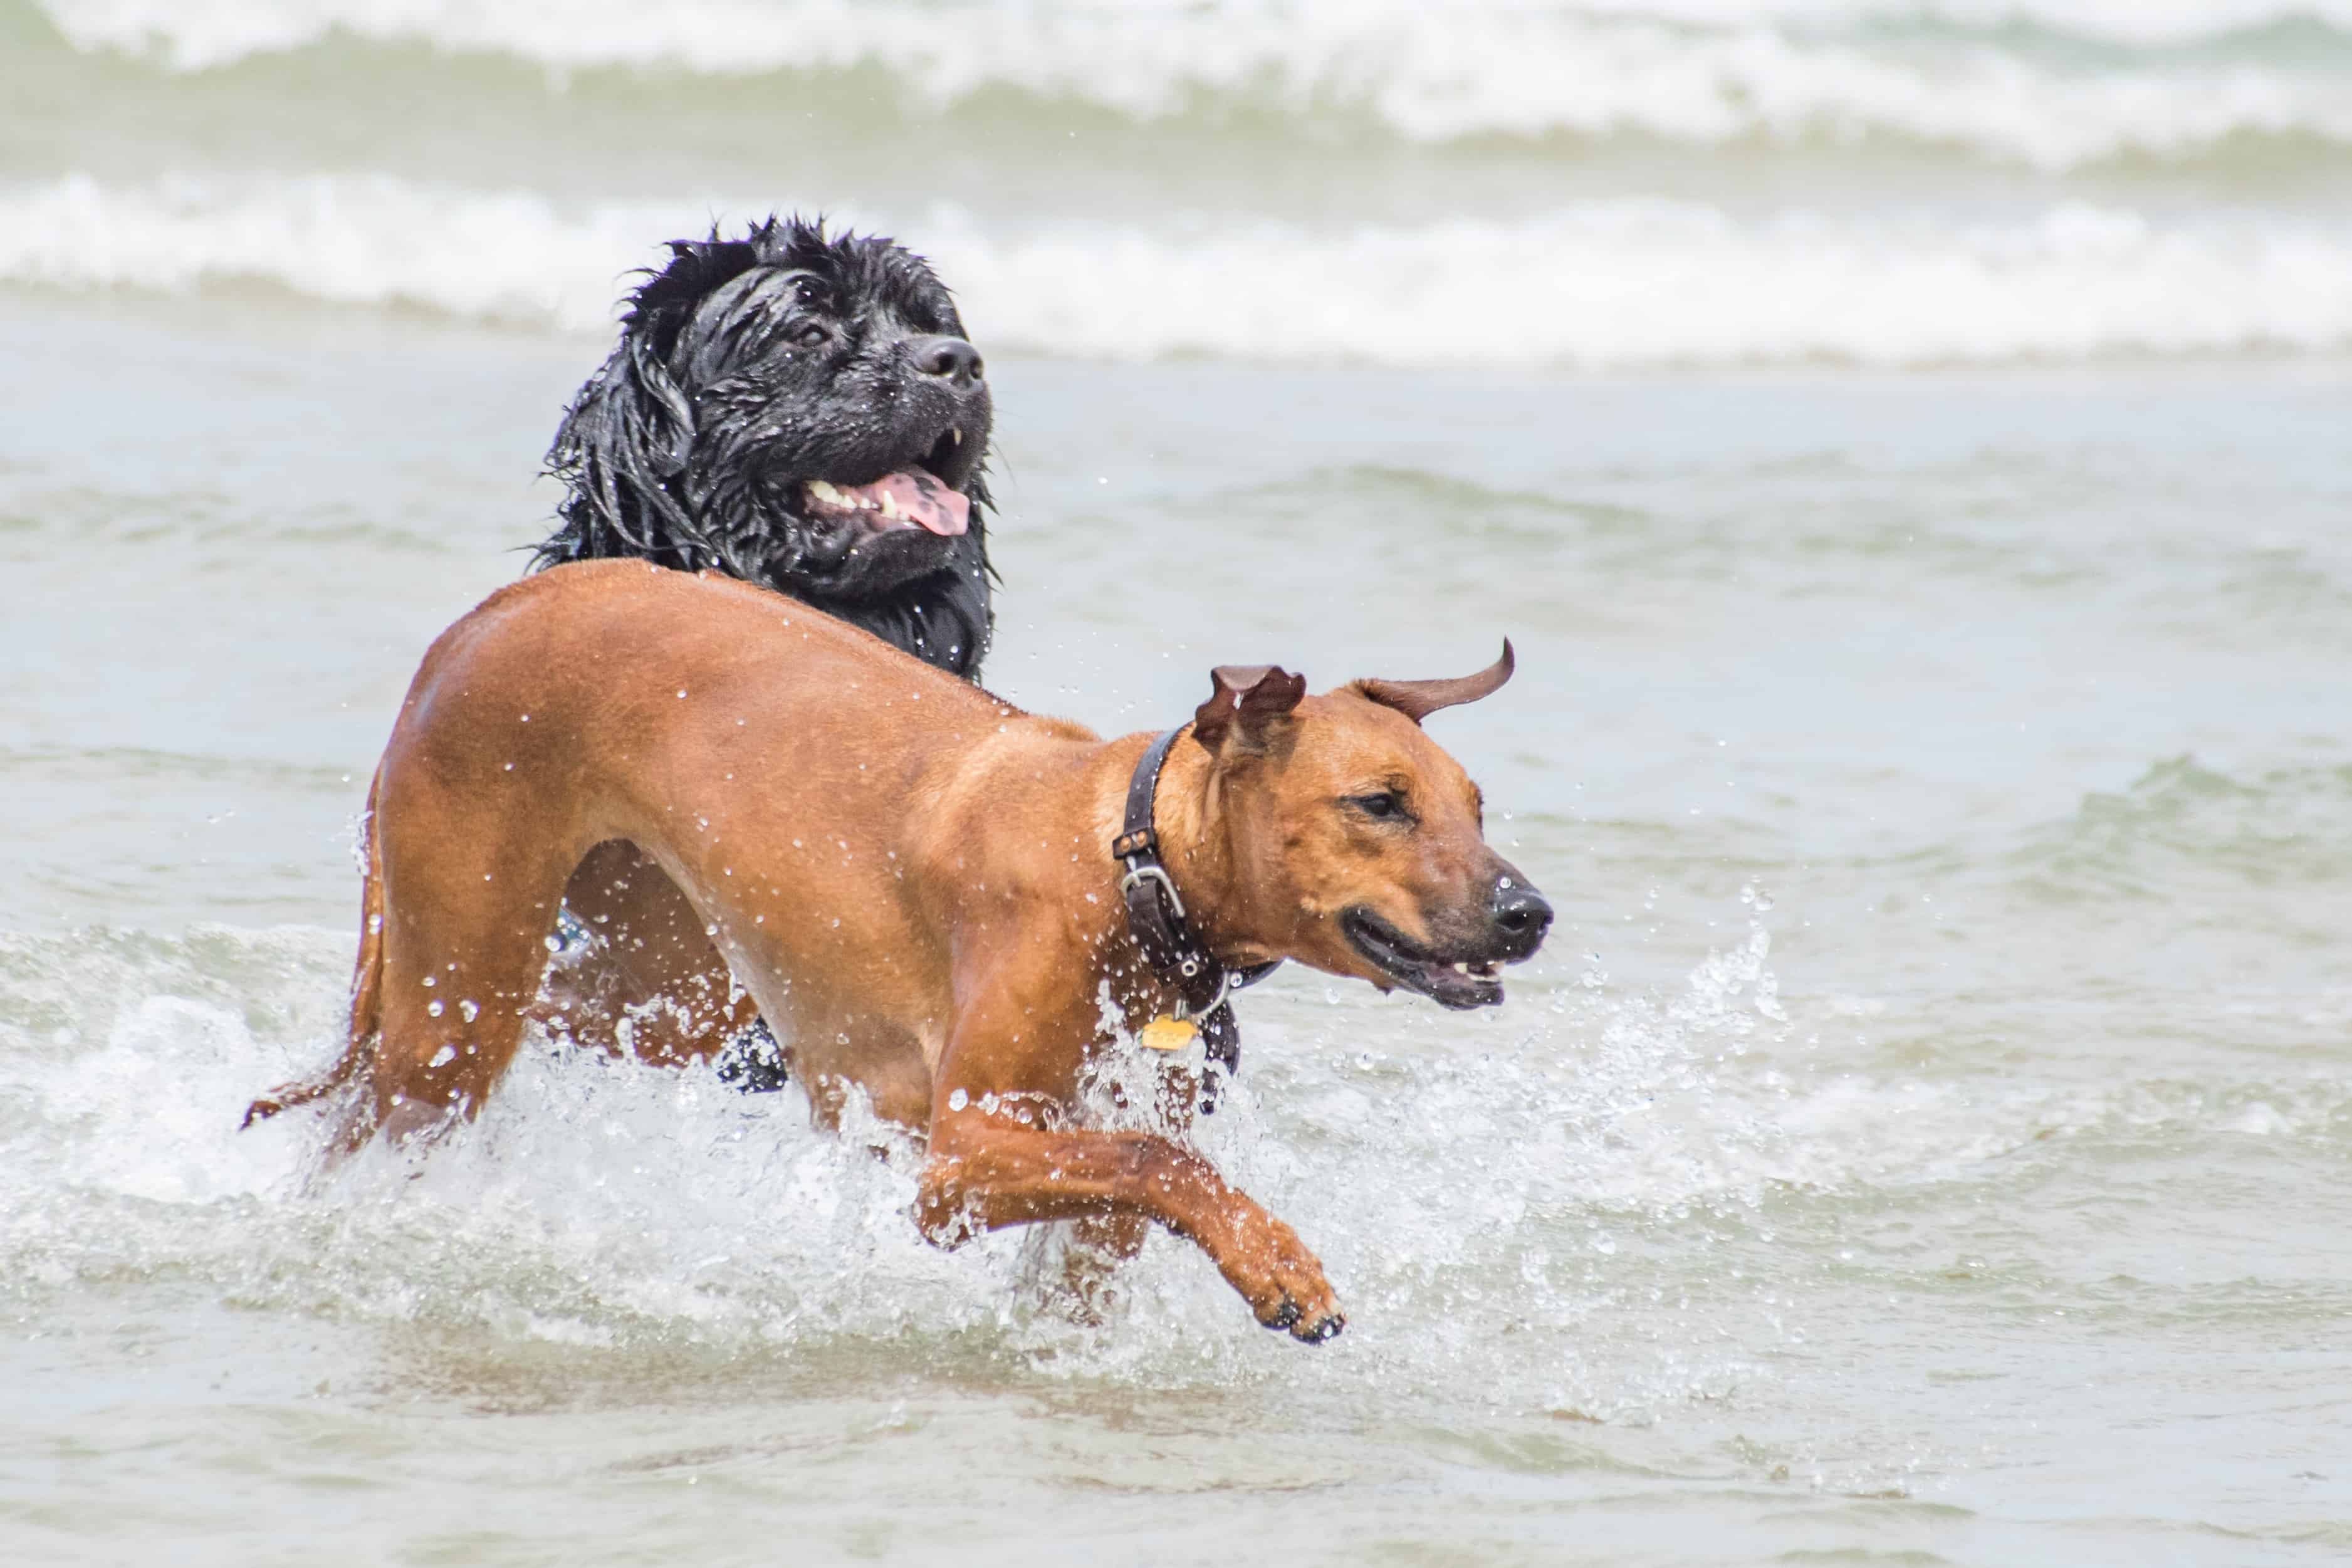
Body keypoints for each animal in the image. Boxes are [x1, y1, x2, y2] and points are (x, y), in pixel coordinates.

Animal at [248, 562, 1552, 1335]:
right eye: (1379, 803)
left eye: (1473, 805)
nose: (1528, 912)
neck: (1136, 872)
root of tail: (493, 610)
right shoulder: (959, 1156)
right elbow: (1150, 1158)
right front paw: (1280, 1262)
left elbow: (1141, 1182)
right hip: (461, 994)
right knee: (380, 1098)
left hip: (657, 981)